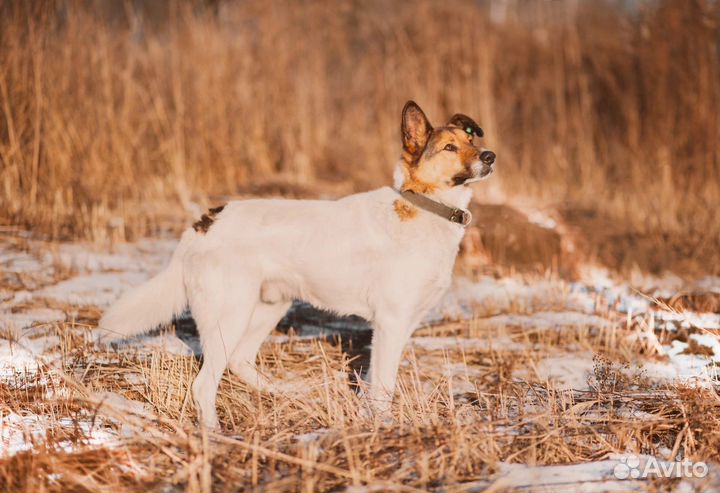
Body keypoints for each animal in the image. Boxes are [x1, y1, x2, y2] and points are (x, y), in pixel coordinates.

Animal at [95, 101, 496, 426]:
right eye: (449, 147)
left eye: (471, 140)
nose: (490, 156)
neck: (426, 205)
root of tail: (203, 223)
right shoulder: (391, 323)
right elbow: (383, 386)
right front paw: (384, 425)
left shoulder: (401, 324)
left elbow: (376, 384)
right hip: (231, 315)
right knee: (203, 385)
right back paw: (215, 433)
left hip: (268, 306)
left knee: (240, 361)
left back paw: (282, 395)